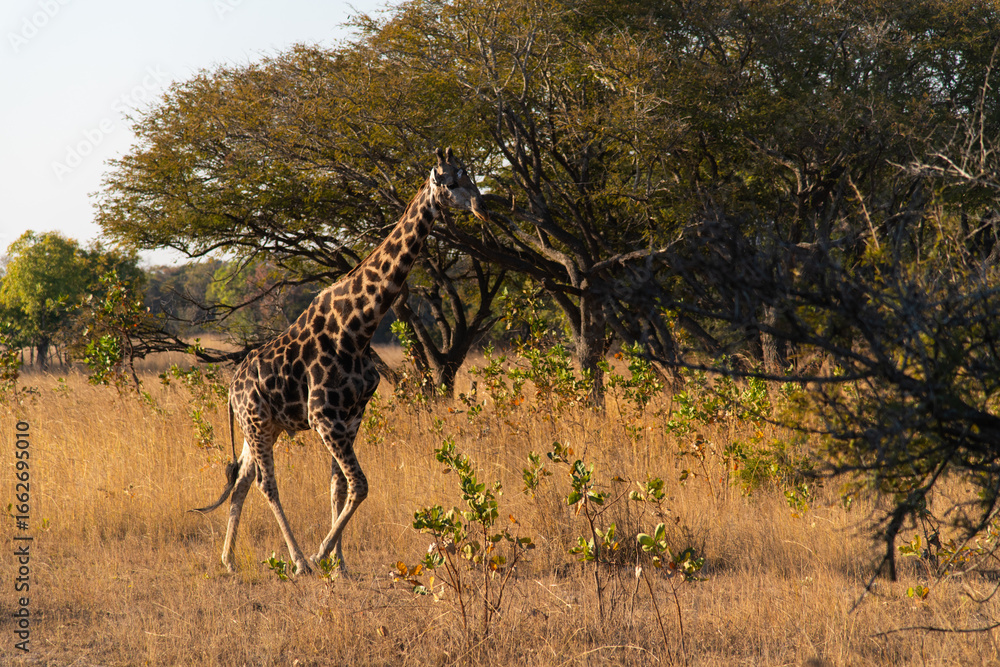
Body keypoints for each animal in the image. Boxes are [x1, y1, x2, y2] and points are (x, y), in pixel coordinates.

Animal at [191, 148, 488, 575]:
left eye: (473, 176)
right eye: (450, 181)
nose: (482, 206)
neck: (359, 324)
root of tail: (231, 389)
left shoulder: (351, 416)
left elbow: (341, 486)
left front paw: (341, 565)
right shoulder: (322, 416)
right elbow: (360, 484)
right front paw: (321, 556)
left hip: (264, 427)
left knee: (243, 478)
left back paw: (229, 561)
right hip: (258, 423)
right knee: (266, 483)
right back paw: (299, 561)